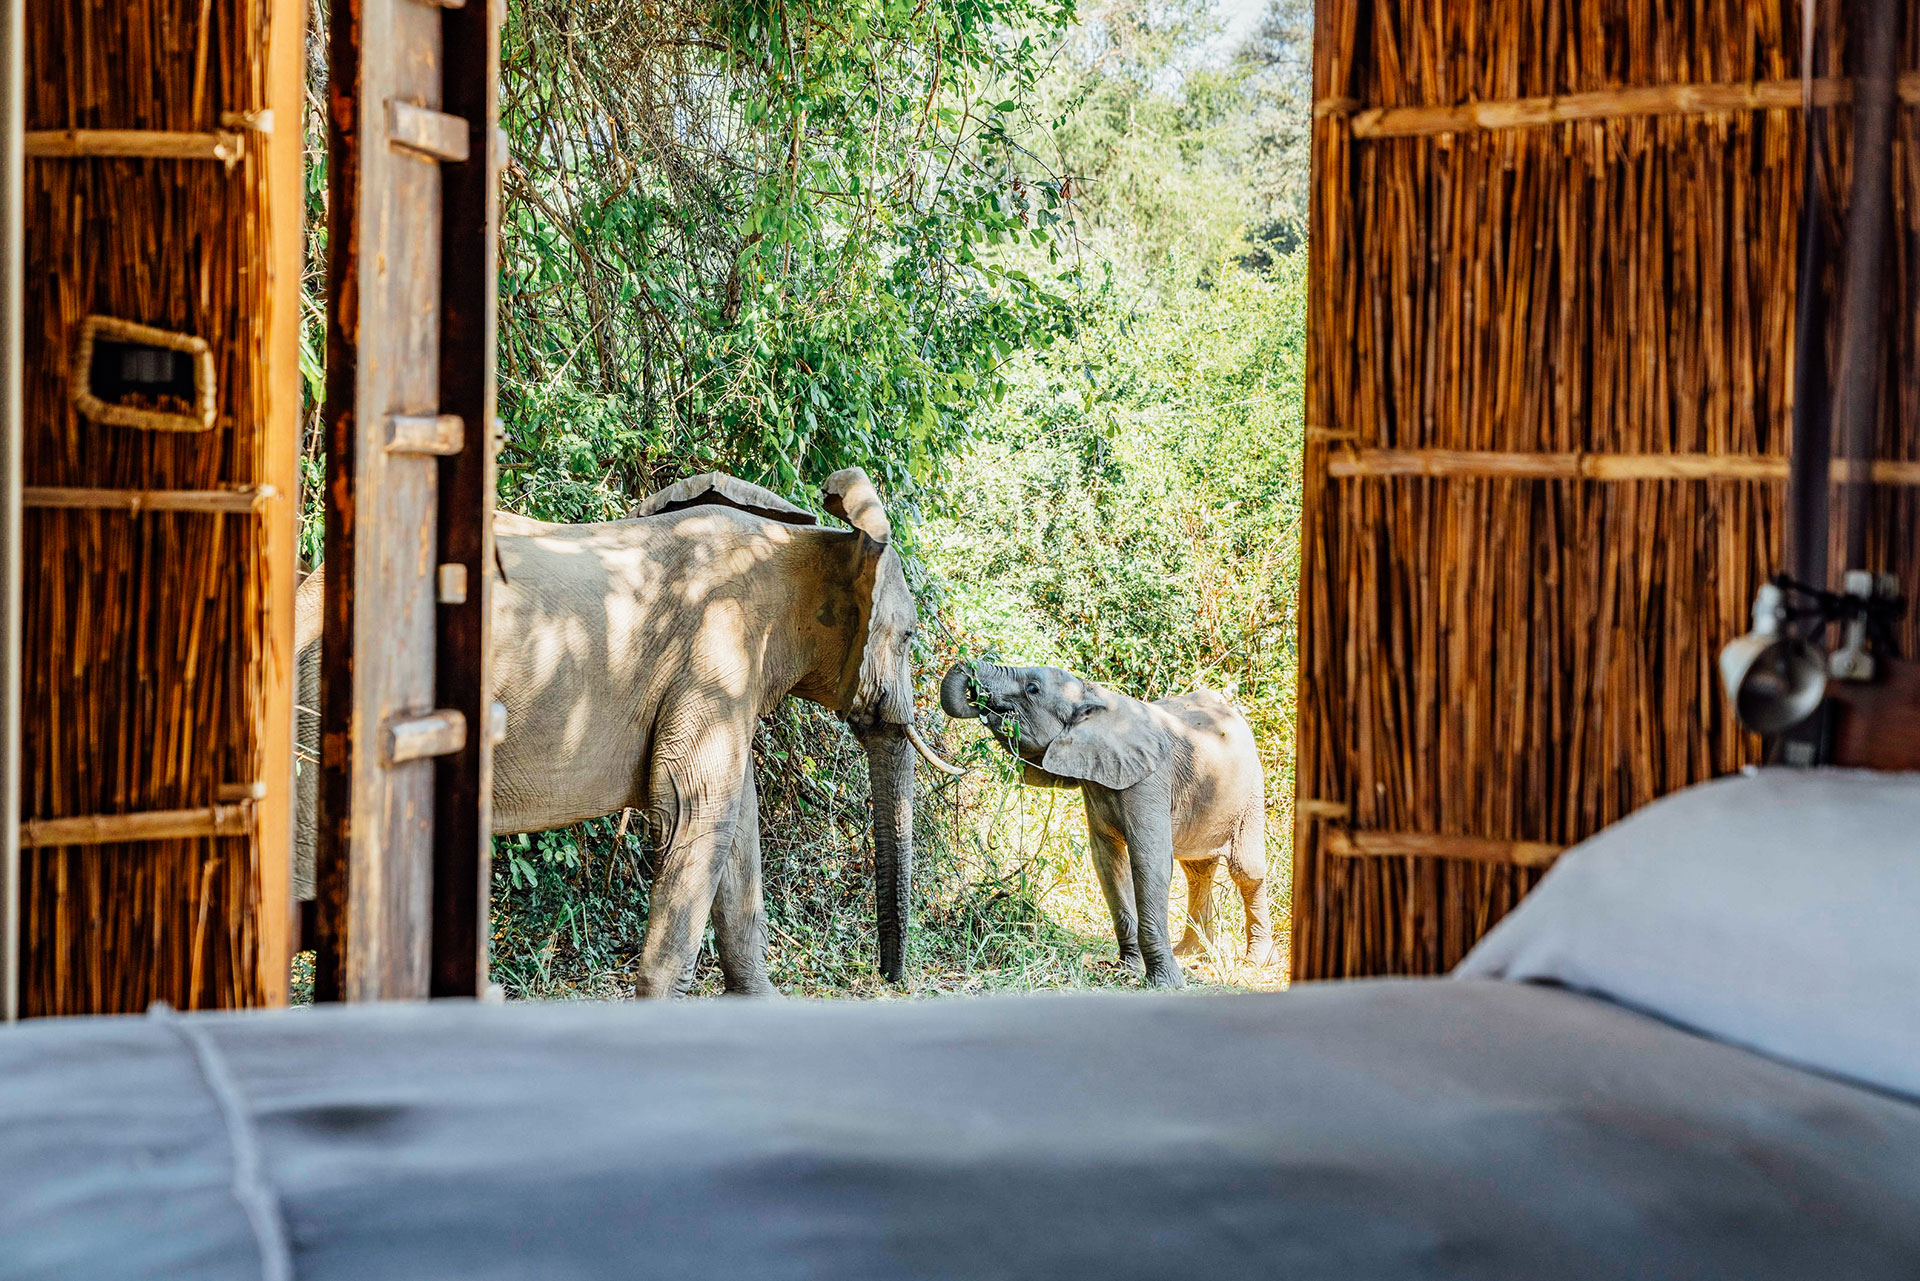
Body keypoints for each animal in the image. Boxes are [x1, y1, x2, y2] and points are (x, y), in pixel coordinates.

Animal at [294, 468, 962, 997]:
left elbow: (736, 821)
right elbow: (695, 808)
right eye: (908, 639)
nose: (888, 978)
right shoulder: (718, 647)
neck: (813, 543)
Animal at [941, 660, 1273, 988]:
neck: (1092, 694)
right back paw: (1191, 953)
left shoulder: (1149, 781)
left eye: (1032, 688)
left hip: (1252, 791)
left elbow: (1149, 862)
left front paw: (1166, 984)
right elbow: (1108, 862)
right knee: (1197, 870)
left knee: (1246, 871)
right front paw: (1126, 971)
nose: (979, 702)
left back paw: (1254, 963)